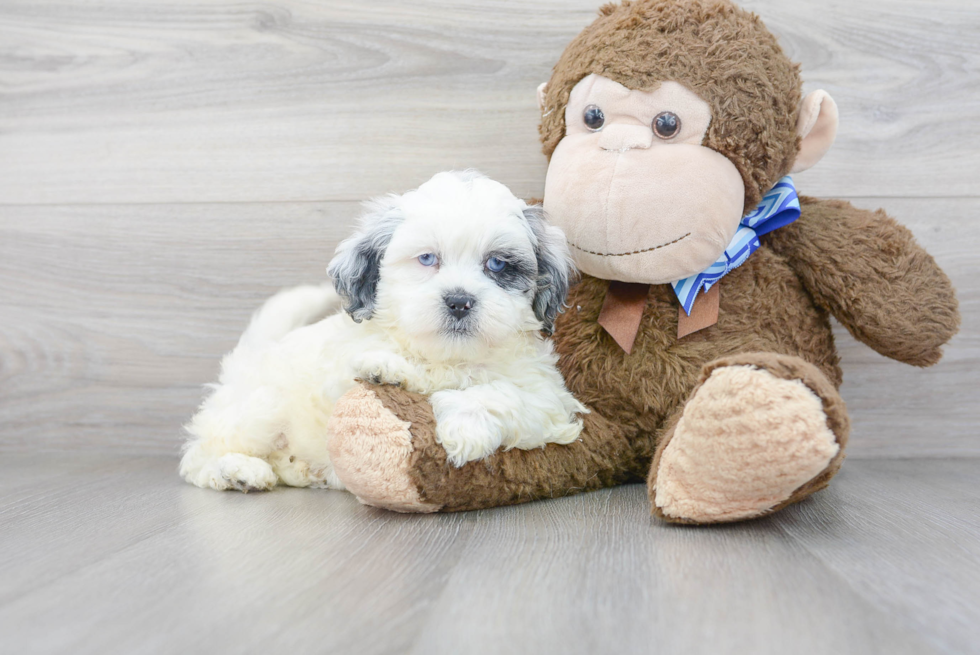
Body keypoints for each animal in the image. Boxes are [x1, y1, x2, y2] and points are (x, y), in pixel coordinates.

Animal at [180, 170, 584, 492]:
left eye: (497, 264)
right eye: (427, 258)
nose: (459, 301)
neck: (449, 355)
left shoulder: (550, 398)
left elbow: (503, 394)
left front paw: (464, 429)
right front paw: (389, 369)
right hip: (260, 408)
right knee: (199, 454)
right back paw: (237, 471)